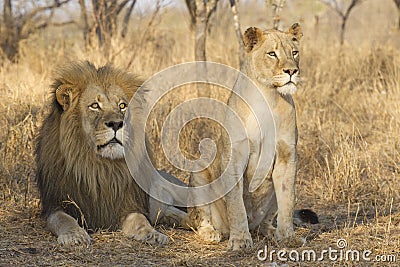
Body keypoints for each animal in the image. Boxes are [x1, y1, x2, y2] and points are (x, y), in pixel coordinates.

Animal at [36, 61, 186, 246]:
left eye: (122, 106)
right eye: (94, 105)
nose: (116, 123)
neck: (101, 167)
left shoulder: (129, 205)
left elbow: (141, 220)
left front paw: (153, 234)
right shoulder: (55, 204)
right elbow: (64, 219)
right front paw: (75, 236)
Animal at [189, 23, 318, 251]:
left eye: (294, 52)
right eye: (272, 54)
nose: (292, 71)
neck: (269, 96)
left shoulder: (287, 156)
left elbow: (287, 200)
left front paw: (288, 237)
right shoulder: (234, 155)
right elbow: (236, 204)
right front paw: (240, 240)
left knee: (266, 221)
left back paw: (271, 231)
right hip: (198, 171)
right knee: (199, 218)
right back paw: (211, 234)